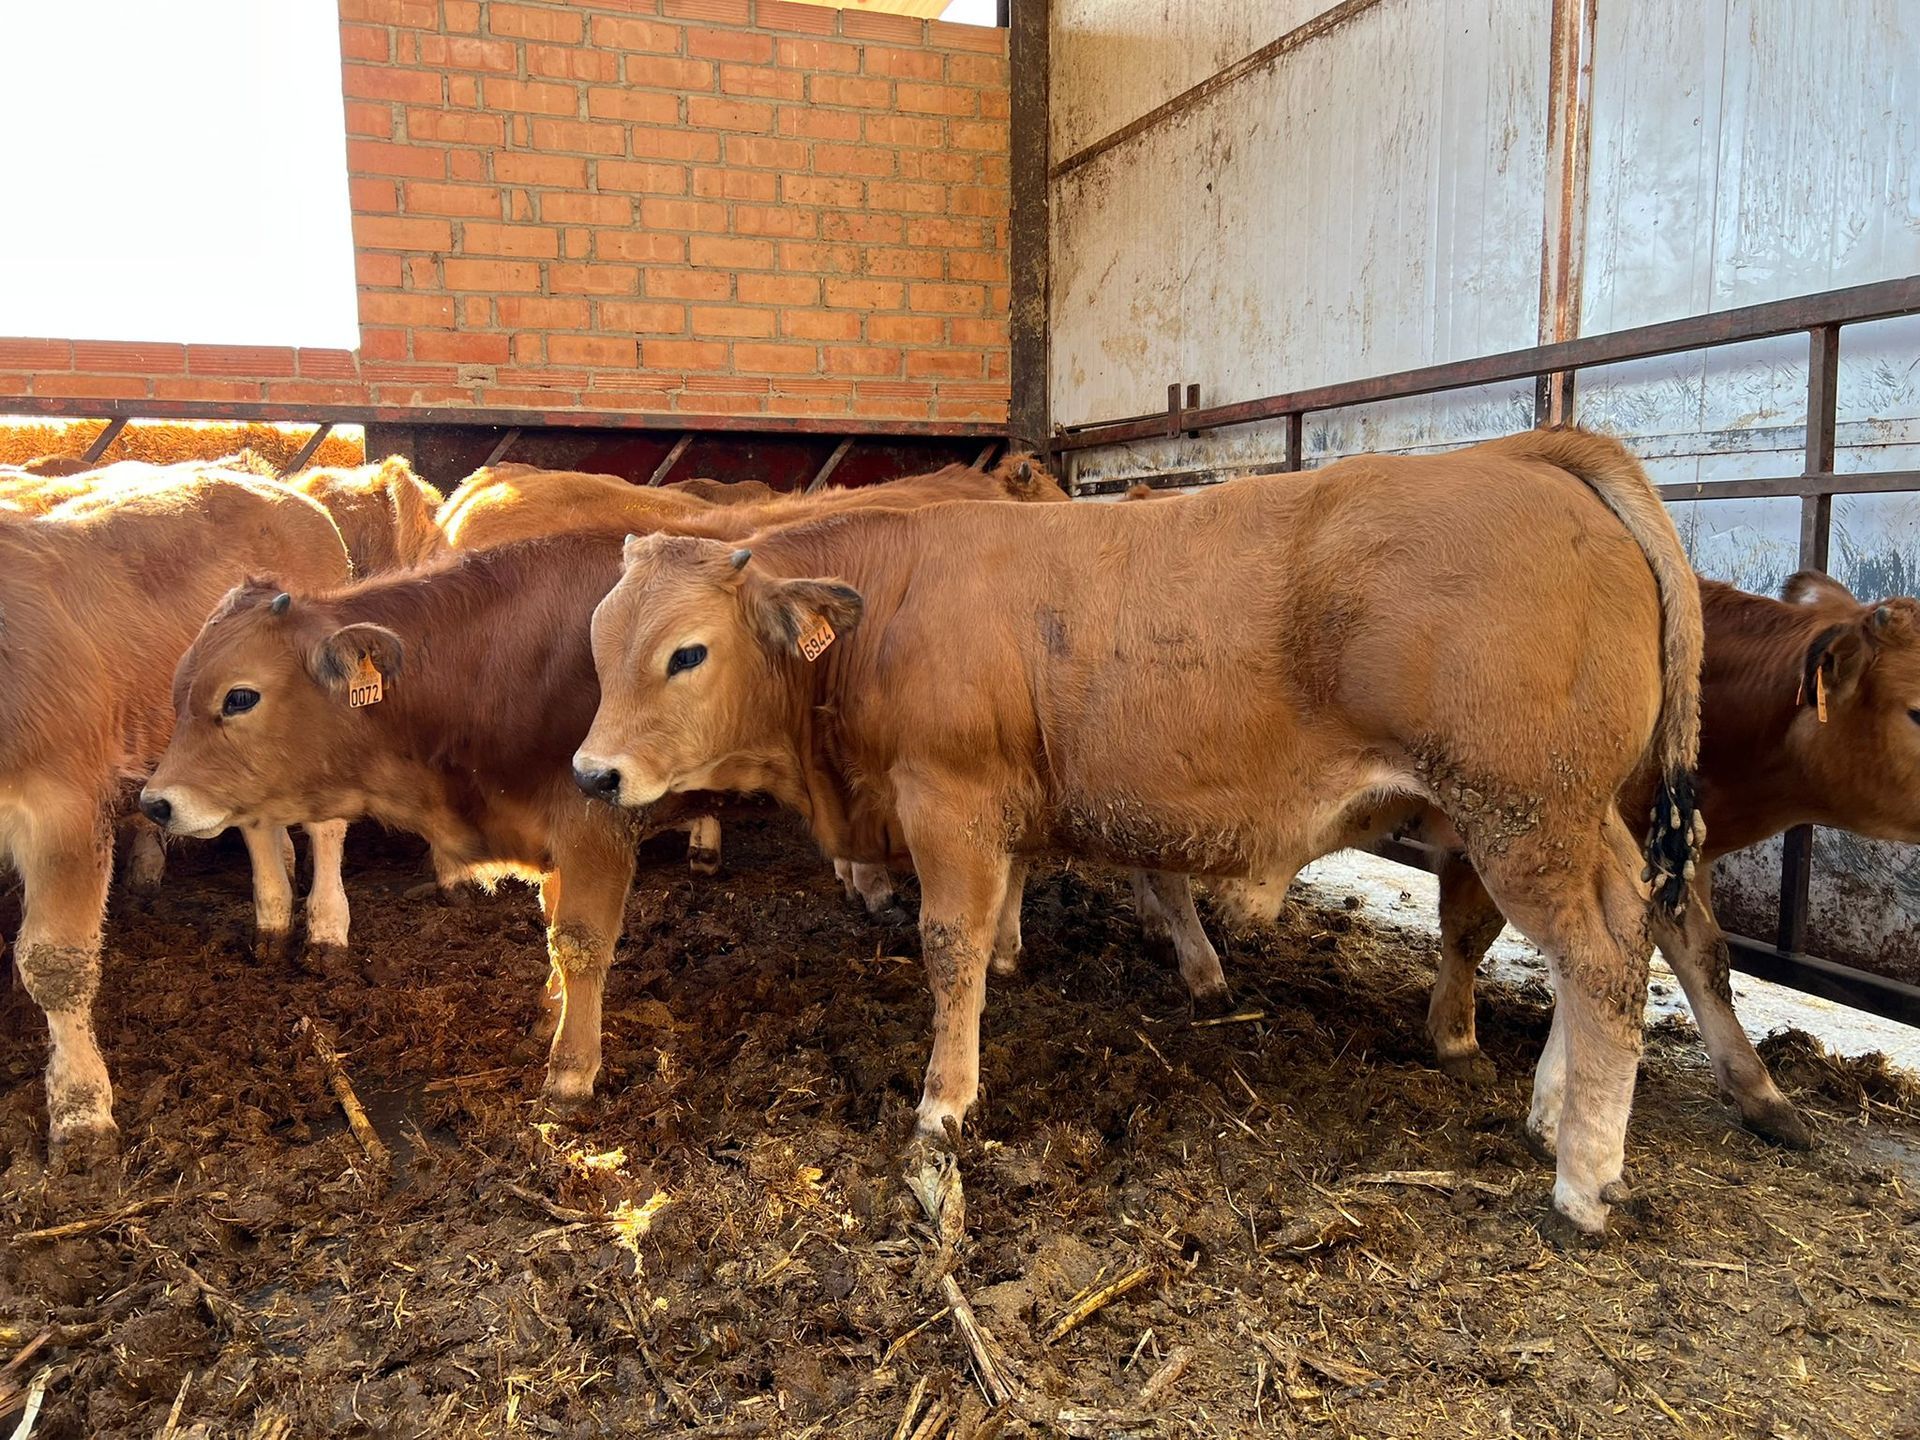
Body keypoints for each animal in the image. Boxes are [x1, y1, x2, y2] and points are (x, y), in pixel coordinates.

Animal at [1, 470, 352, 1163]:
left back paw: (326, 928)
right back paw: (272, 914)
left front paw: (81, 1111)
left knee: (325, 828)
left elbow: (56, 963)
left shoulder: (61, 801)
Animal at [572, 427, 1704, 1236]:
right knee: (1620, 931)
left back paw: (1585, 1180)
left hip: (1522, 809)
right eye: (598, 638)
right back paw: (1551, 1109)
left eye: (687, 652)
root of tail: (1526, 455)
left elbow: (951, 949)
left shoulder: (951, 802)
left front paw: (943, 1105)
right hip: (1576, 814)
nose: (592, 771)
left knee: (1600, 958)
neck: (890, 605)